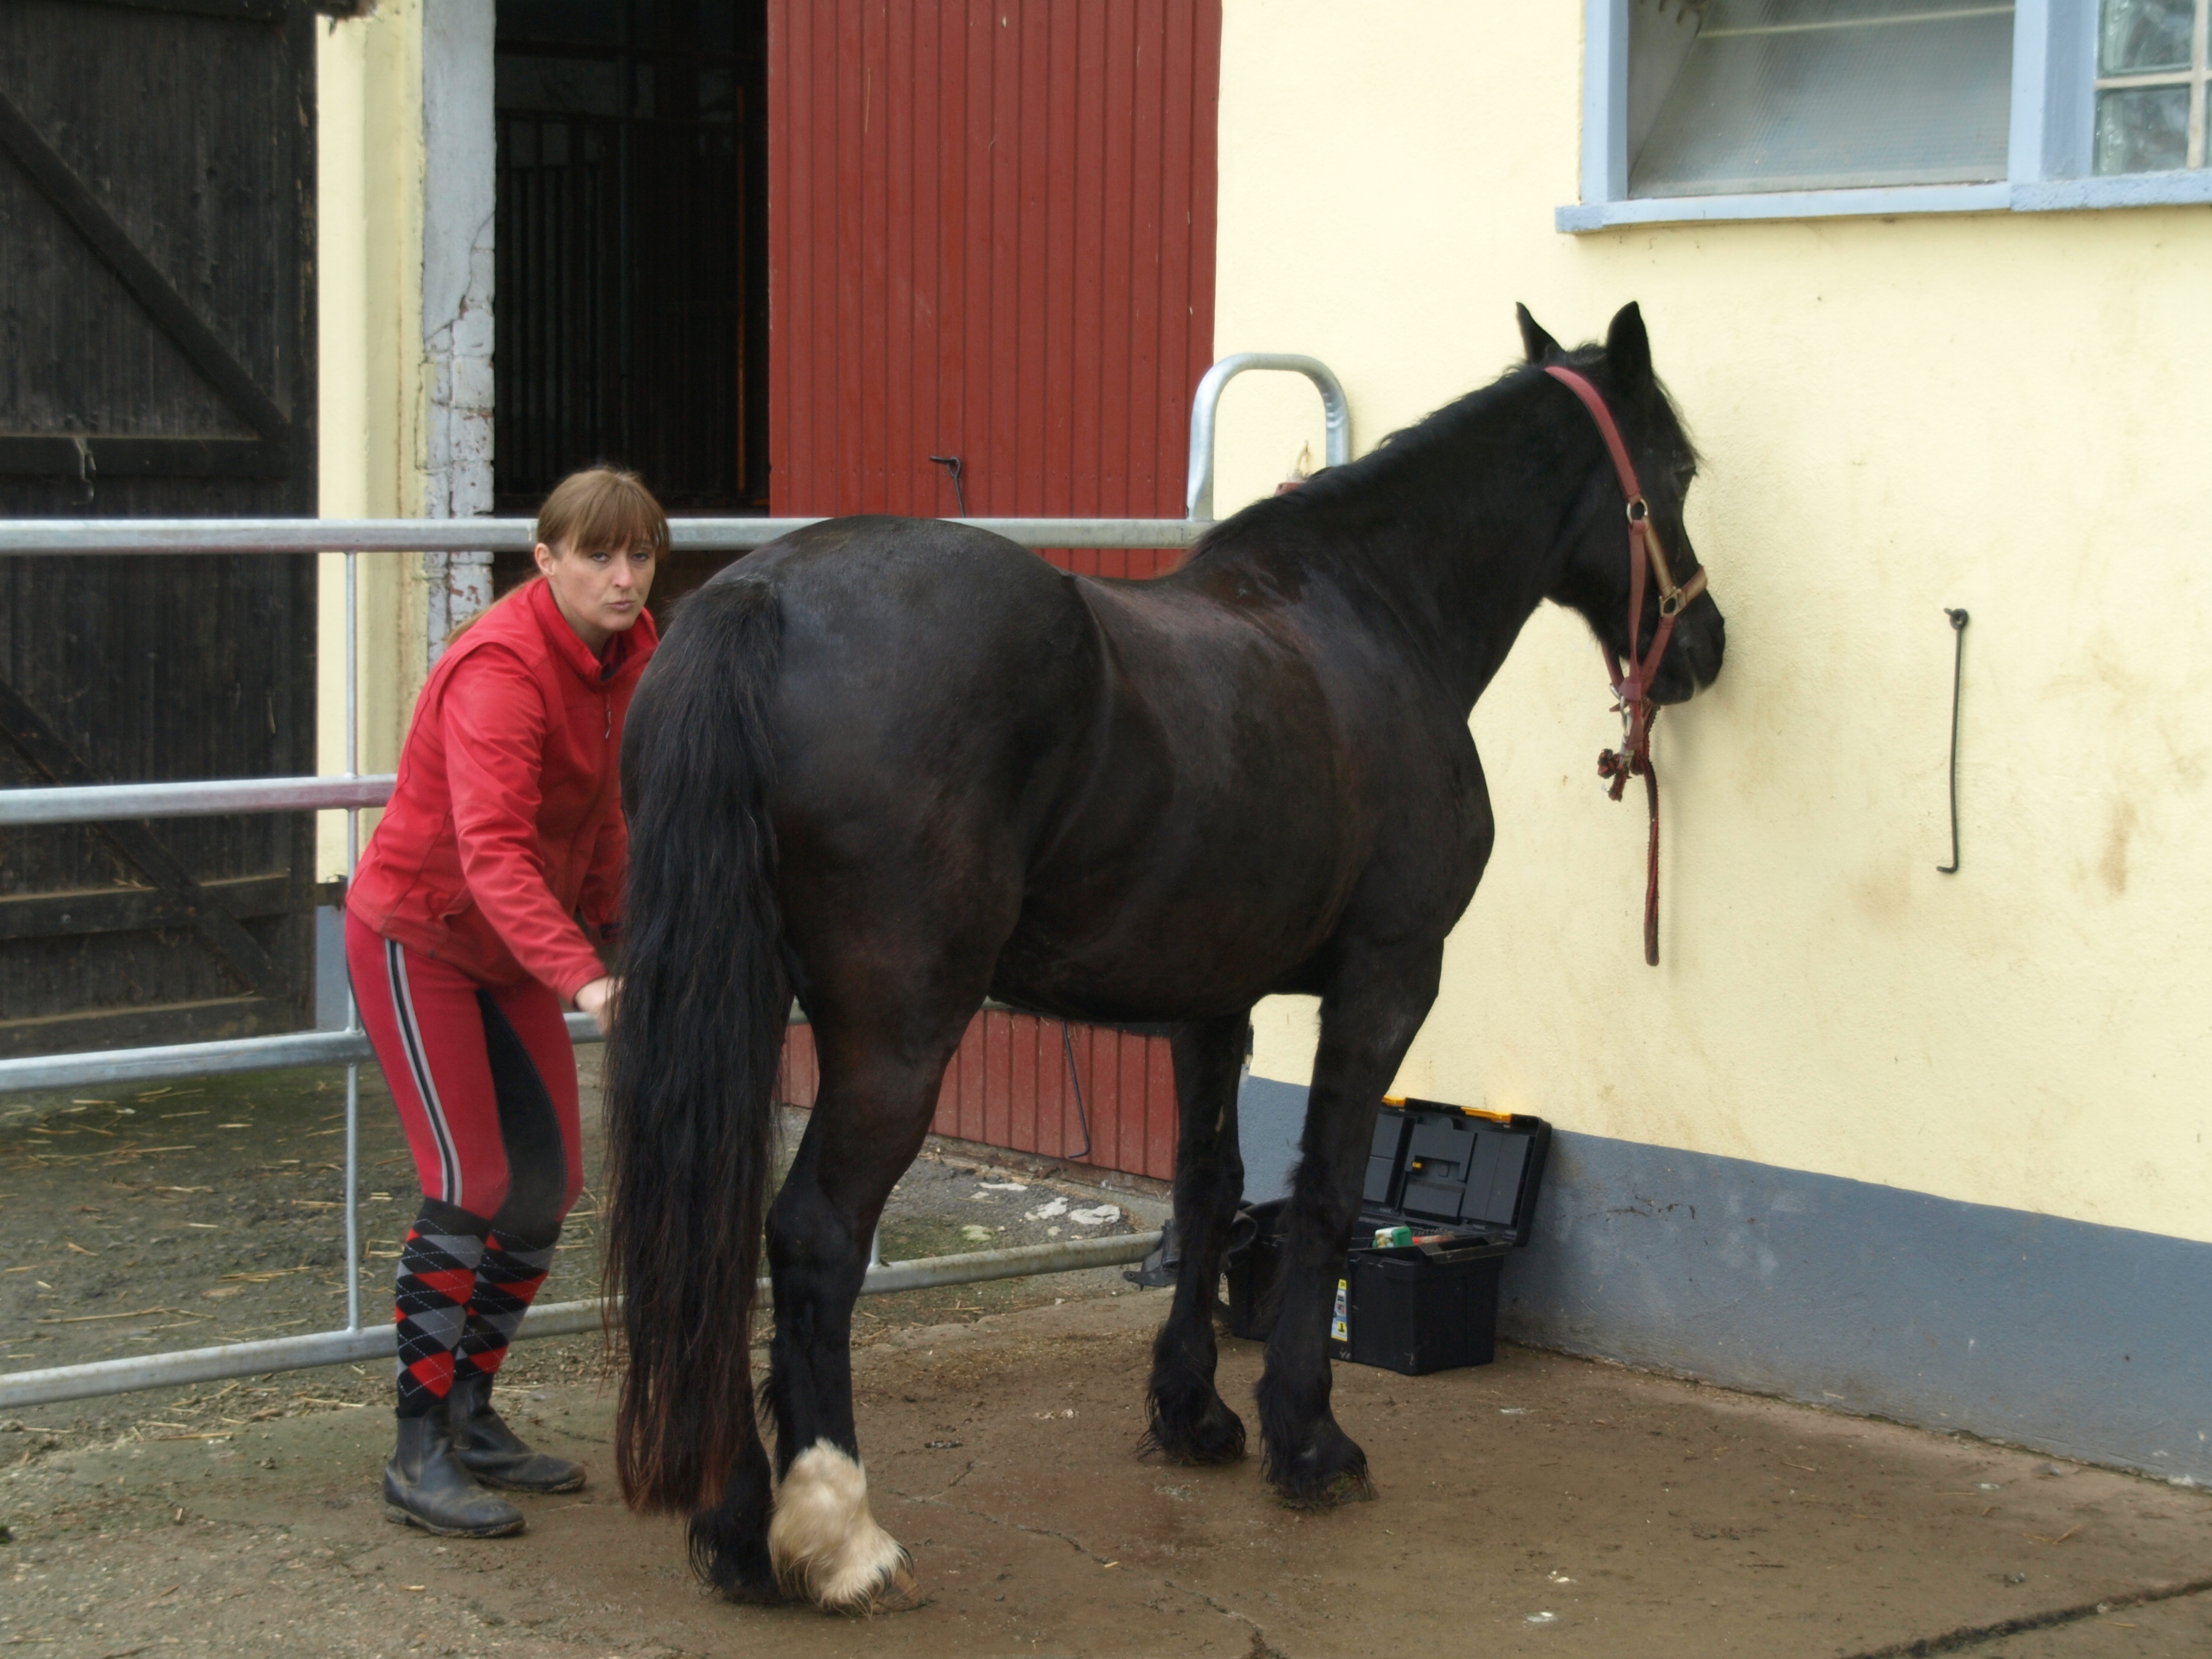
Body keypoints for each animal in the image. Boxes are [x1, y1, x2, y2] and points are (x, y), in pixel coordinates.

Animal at [600, 302, 1726, 1613]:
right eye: (1677, 471)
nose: (1705, 646)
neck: (1369, 614)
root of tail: (760, 601)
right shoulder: (1388, 981)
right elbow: (1326, 1192)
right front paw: (1309, 1438)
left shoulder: (1211, 999)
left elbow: (1209, 1186)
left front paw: (1192, 1413)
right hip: (897, 1033)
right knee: (815, 1237)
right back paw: (838, 1537)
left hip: (737, 1002)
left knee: (722, 1235)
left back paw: (738, 1529)